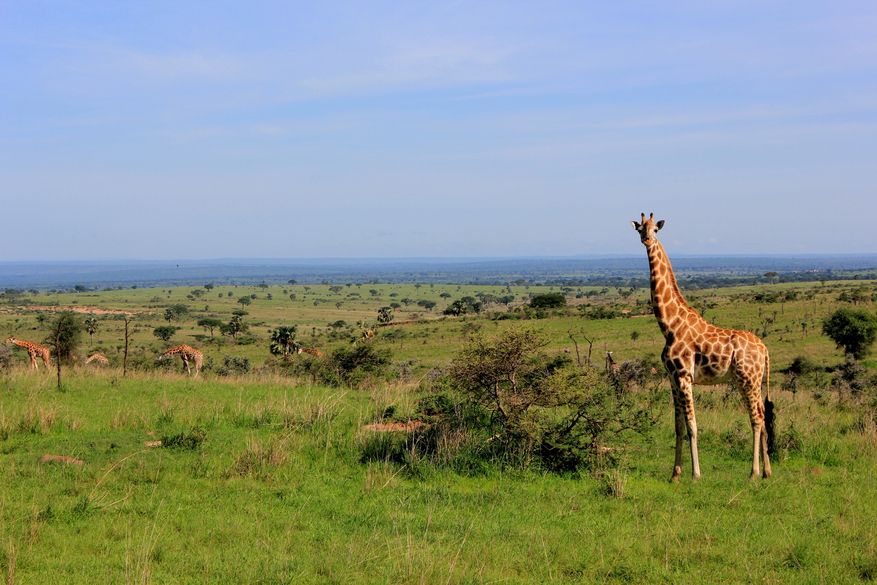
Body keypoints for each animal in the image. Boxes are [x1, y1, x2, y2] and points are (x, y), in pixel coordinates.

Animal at [628, 213, 772, 480]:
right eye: (639, 228)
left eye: (656, 229)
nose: (647, 239)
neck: (669, 325)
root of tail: (765, 350)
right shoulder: (673, 378)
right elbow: (677, 426)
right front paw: (675, 475)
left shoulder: (685, 376)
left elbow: (693, 426)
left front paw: (696, 474)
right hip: (751, 380)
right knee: (763, 415)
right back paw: (767, 471)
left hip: (747, 378)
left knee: (756, 418)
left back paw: (754, 473)